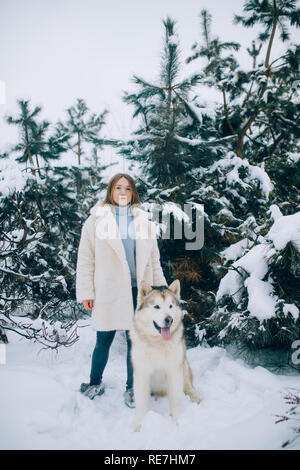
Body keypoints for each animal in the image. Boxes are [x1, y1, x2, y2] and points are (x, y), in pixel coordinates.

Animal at [129, 280, 202, 432]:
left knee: (188, 387)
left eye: (170, 306)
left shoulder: (174, 370)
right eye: (156, 306)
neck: (158, 343)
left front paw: (177, 421)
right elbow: (141, 403)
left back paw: (195, 397)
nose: (169, 319)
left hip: (183, 365)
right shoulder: (142, 373)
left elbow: (176, 399)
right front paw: (138, 424)